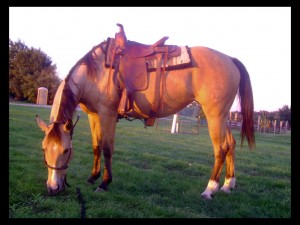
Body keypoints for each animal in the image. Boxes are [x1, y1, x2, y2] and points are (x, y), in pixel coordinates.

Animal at [36, 23, 254, 200]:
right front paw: (92, 177)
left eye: (65, 150)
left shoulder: (107, 114)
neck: (95, 72)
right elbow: (96, 146)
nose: (53, 188)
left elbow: (107, 148)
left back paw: (210, 189)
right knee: (231, 144)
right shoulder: (93, 115)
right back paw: (228, 185)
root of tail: (230, 59)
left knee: (221, 149)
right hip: (222, 116)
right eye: (44, 149)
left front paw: (104, 183)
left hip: (214, 116)